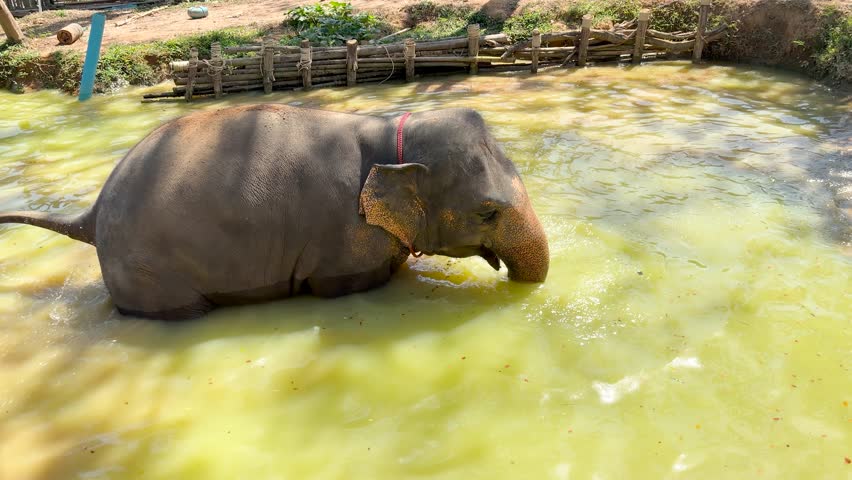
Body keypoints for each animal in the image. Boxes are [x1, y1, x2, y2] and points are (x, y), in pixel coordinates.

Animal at [0, 105, 549, 320]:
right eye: (487, 212)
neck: (393, 130)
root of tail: (91, 215)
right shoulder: (343, 241)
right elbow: (348, 284)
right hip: (146, 272)